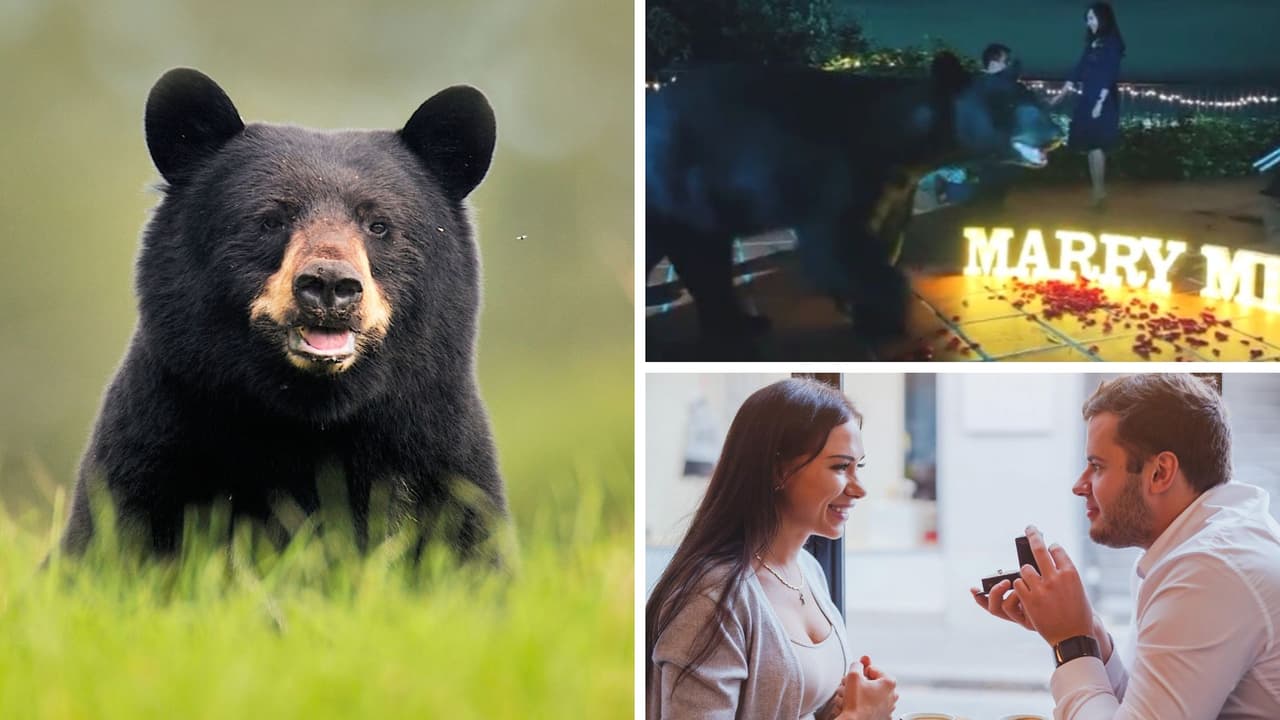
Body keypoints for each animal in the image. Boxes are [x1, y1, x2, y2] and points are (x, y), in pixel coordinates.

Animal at [61, 68, 506, 560]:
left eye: (379, 225)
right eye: (271, 220)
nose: (330, 284)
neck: (312, 418)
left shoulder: (442, 459)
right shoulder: (154, 446)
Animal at [646, 53, 1064, 345]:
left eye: (1035, 99)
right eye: (1007, 106)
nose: (1056, 133)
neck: (900, 139)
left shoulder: (896, 188)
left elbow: (886, 239)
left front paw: (865, 309)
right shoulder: (836, 173)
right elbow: (837, 246)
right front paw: (883, 316)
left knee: (705, 262)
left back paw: (739, 324)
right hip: (678, 186)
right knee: (701, 258)